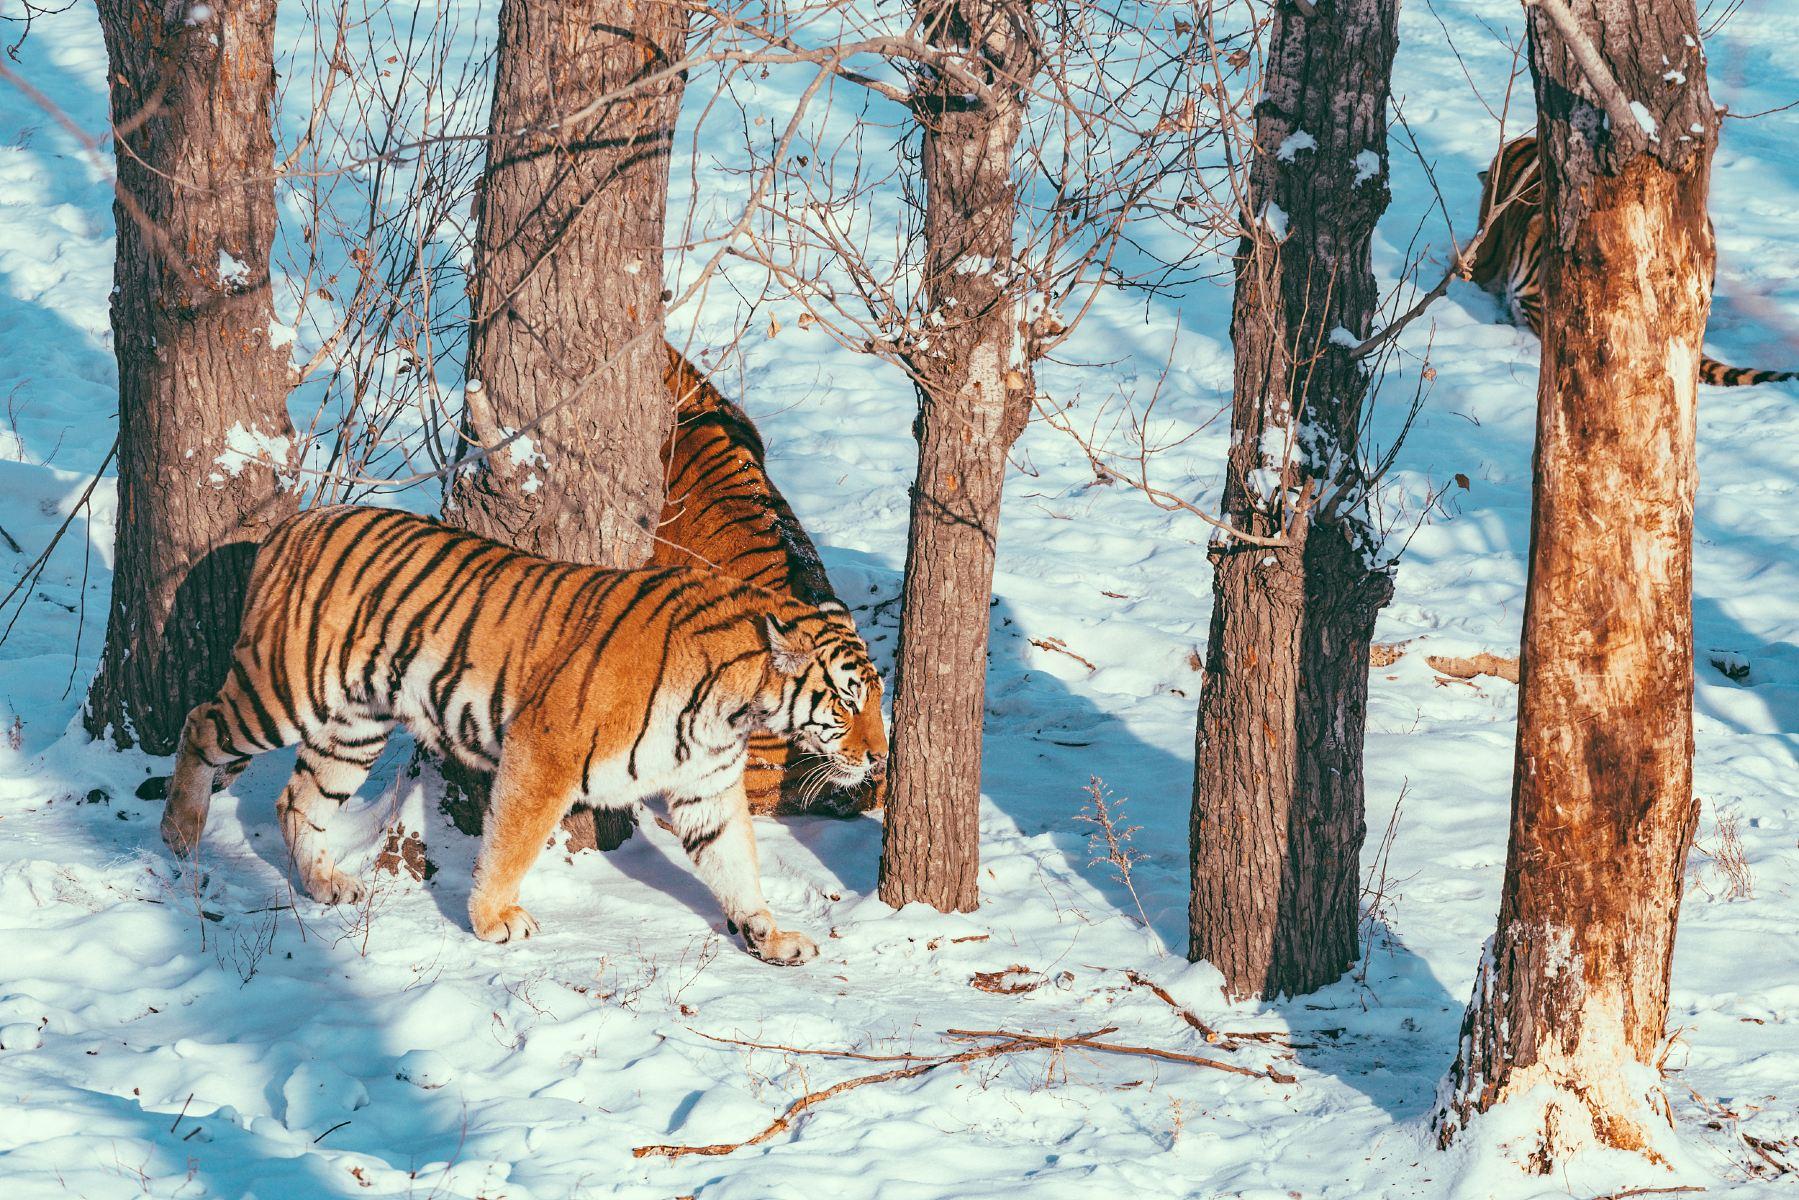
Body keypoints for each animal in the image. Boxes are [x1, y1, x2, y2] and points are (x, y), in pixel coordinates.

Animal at [157, 505, 886, 964]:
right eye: (848, 700)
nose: (880, 756)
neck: (736, 708)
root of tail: (294, 522)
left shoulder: (704, 786)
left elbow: (735, 864)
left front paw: (769, 936)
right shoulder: (544, 753)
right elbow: (512, 845)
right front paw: (493, 922)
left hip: (353, 725)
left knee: (297, 801)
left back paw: (324, 884)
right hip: (286, 690)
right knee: (200, 722)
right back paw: (181, 832)